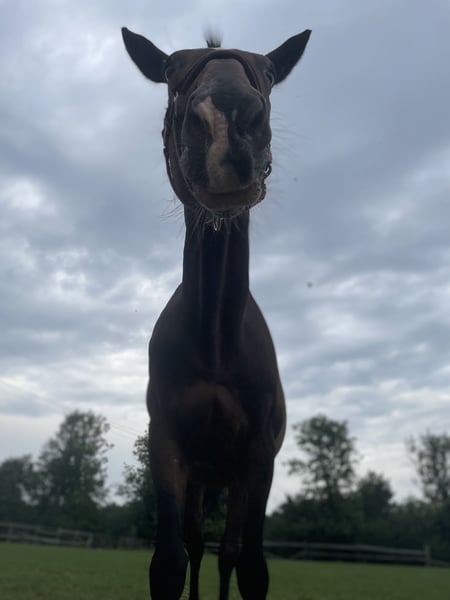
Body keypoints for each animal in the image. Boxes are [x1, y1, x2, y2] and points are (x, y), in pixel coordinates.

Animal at [121, 26, 311, 600]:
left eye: (268, 71)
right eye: (169, 69)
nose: (226, 119)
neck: (215, 343)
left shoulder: (257, 459)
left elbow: (250, 564)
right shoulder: (169, 447)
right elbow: (170, 560)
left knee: (226, 552)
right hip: (205, 479)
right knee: (200, 547)